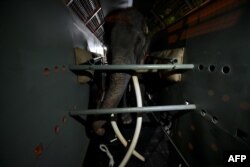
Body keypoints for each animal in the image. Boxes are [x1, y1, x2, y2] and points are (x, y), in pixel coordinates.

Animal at [92, 7, 149, 136]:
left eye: (139, 41)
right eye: (107, 44)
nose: (101, 131)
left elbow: (140, 80)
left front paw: (143, 117)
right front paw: (126, 120)